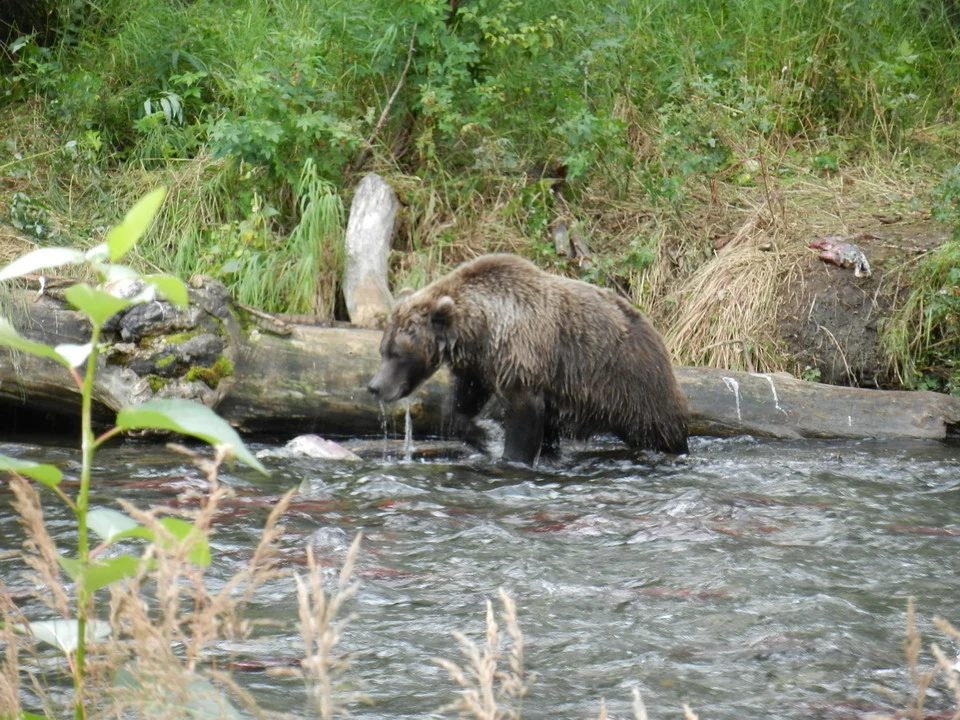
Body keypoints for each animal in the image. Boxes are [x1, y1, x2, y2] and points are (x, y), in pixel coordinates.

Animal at [367, 253, 689, 464]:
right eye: (383, 349)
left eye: (398, 353)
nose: (375, 386)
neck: (481, 328)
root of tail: (656, 332)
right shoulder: (480, 365)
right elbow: (462, 405)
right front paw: (481, 436)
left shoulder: (523, 360)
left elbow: (524, 418)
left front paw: (509, 455)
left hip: (633, 386)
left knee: (661, 430)